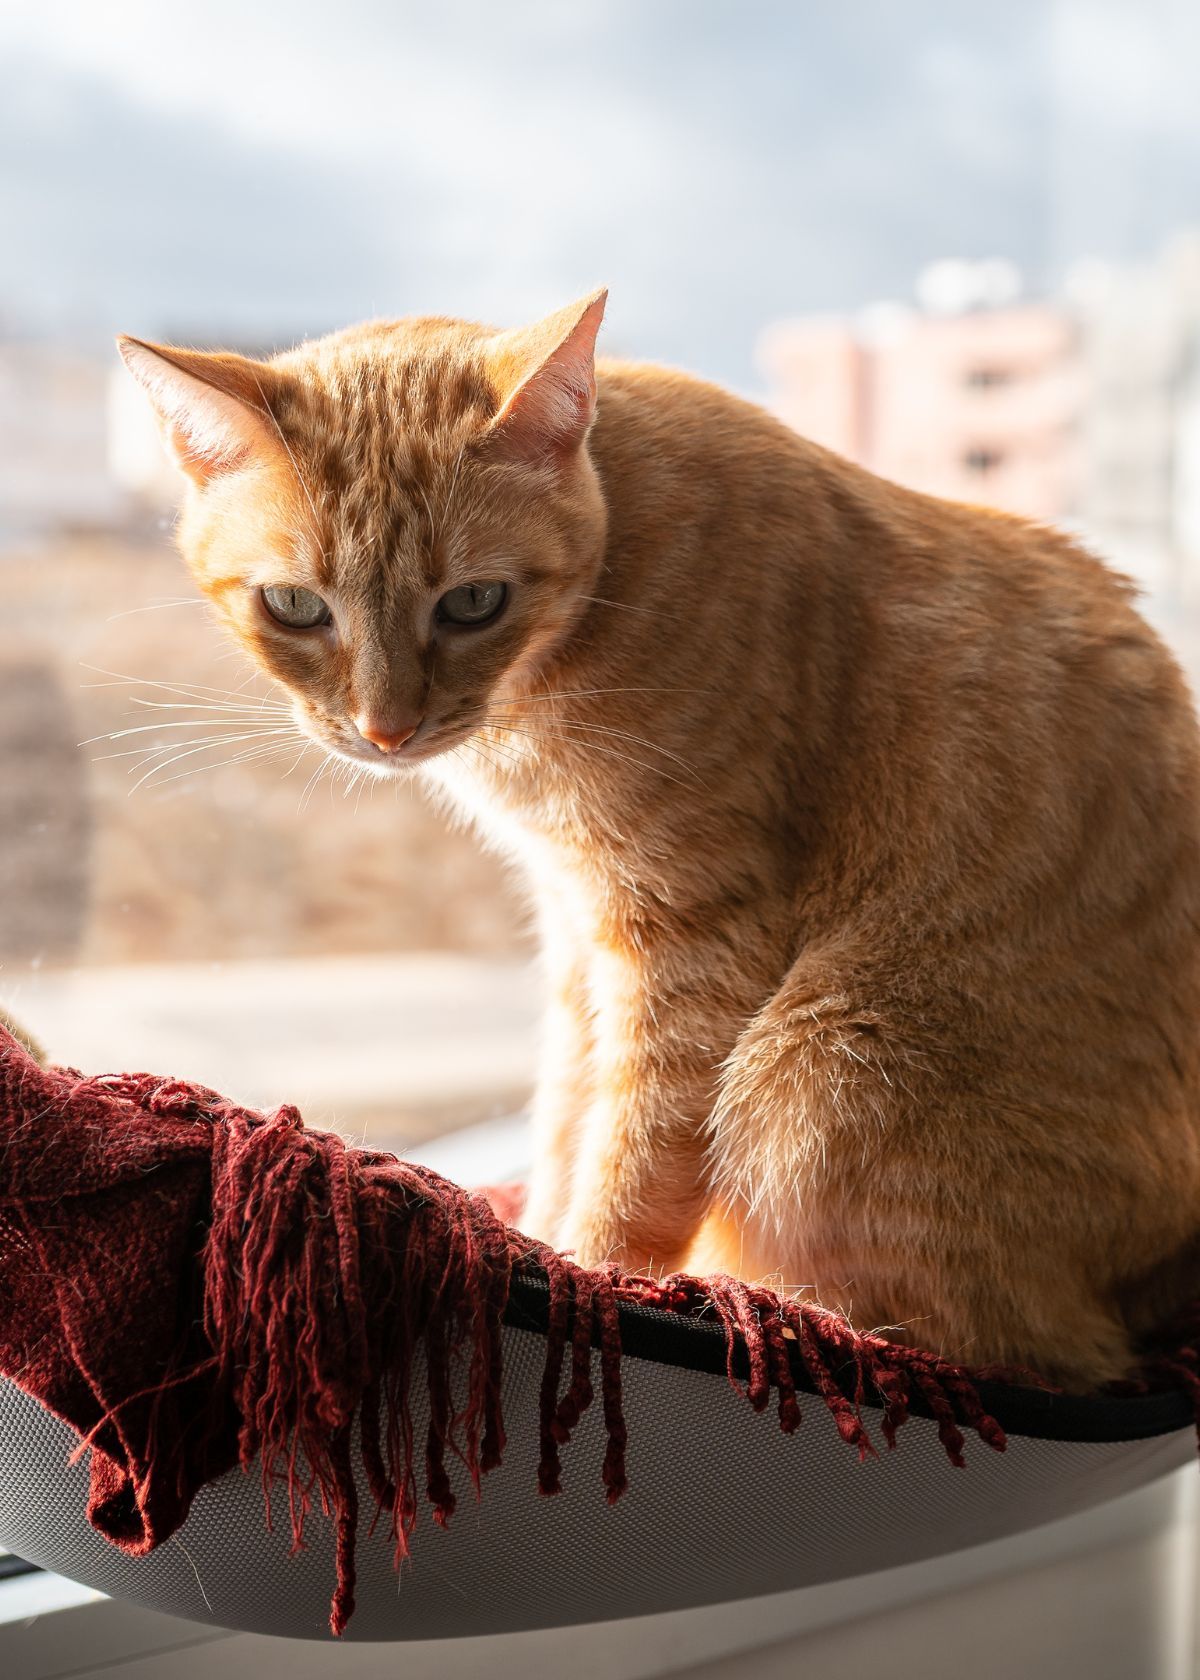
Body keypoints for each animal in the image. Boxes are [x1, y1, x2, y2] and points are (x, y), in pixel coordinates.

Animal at [119, 295, 1196, 1384]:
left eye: (472, 601)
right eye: (296, 606)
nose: (387, 732)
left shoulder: (694, 940)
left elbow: (636, 1160)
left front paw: (589, 1271)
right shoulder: (577, 934)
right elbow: (567, 1114)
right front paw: (536, 1233)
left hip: (820, 1076)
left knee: (974, 1339)